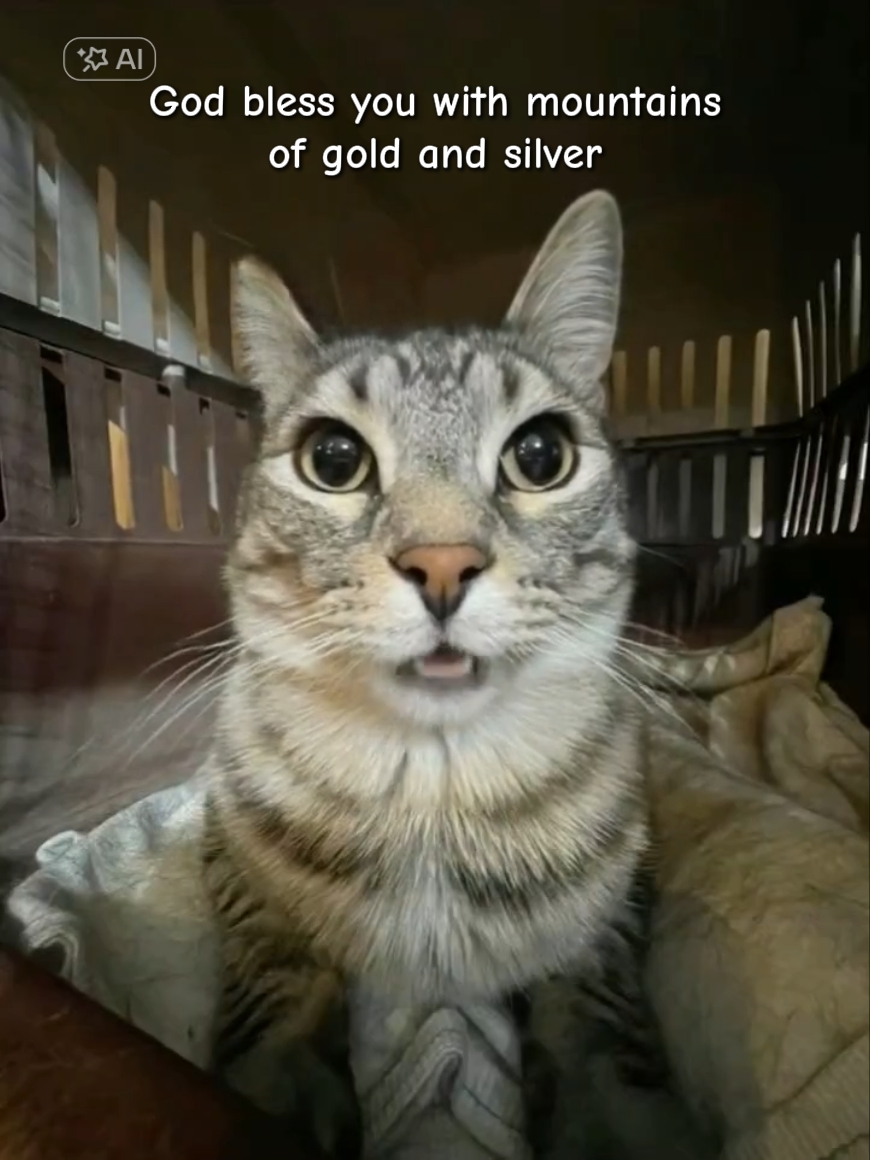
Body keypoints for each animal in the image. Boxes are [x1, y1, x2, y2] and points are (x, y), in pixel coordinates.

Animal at [201, 190, 712, 1159]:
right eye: (333, 460)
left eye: (541, 455)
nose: (442, 564)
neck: (431, 788)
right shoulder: (225, 843)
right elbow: (267, 964)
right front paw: (277, 1086)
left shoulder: (624, 890)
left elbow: (600, 1006)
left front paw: (616, 1111)